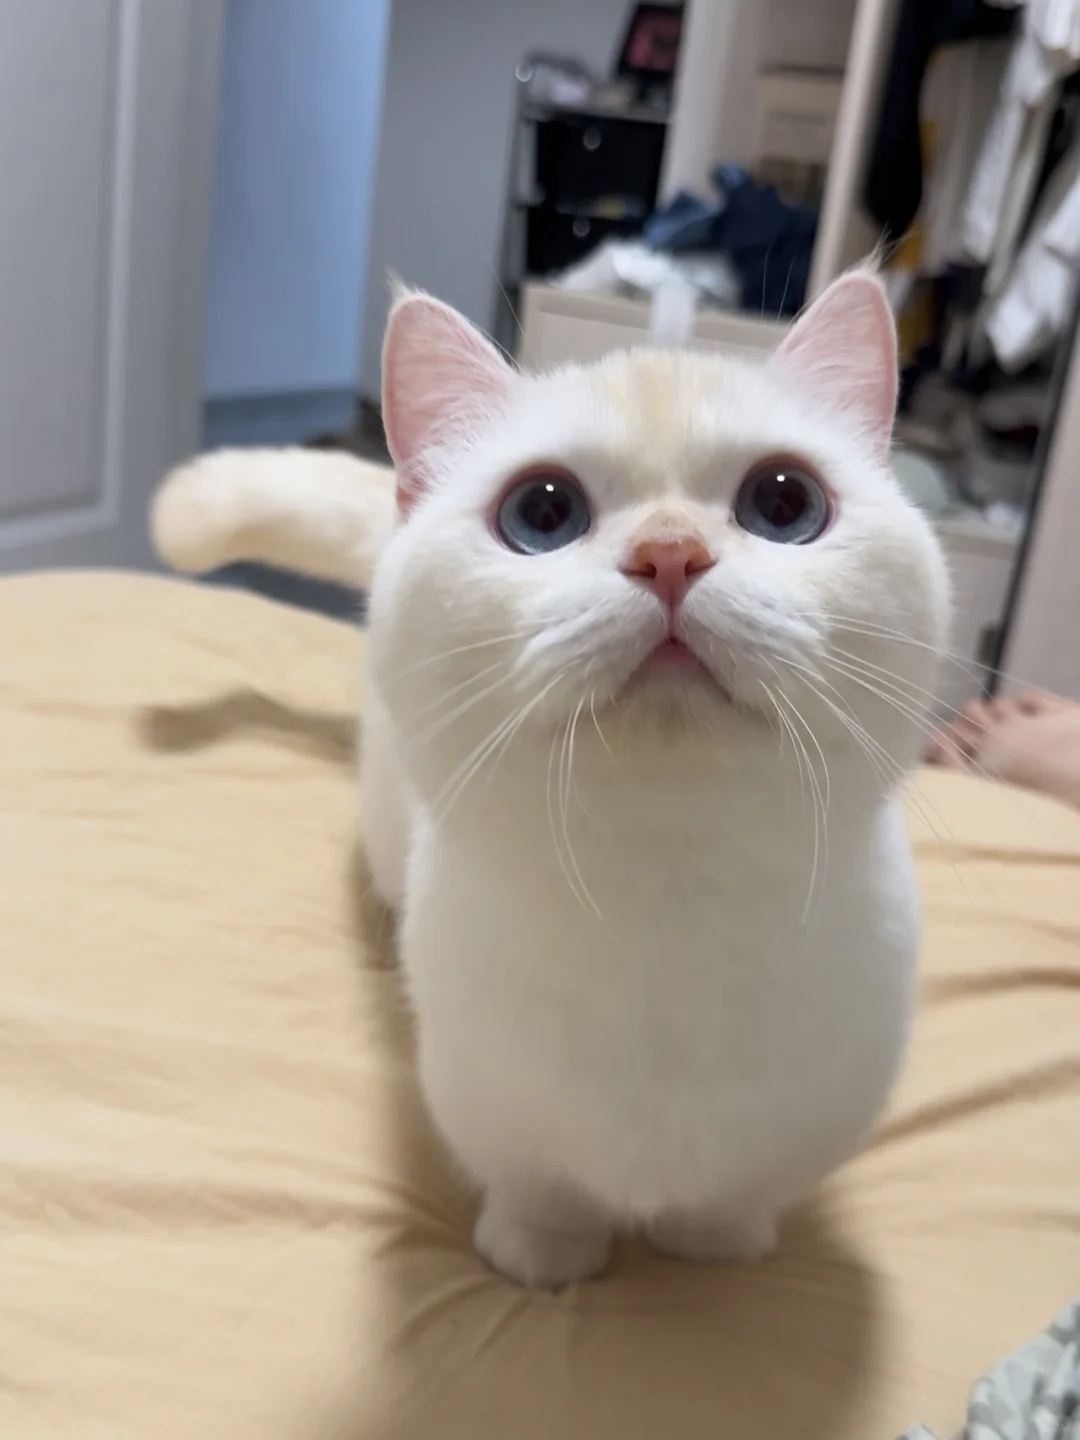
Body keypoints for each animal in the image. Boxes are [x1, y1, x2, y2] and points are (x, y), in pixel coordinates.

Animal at [154, 269, 949, 1289]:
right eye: (541, 514)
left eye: (784, 503)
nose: (669, 552)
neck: (668, 907)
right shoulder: (488, 1101)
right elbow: (541, 1190)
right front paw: (543, 1259)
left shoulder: (810, 1117)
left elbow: (734, 1195)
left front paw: (714, 1245)